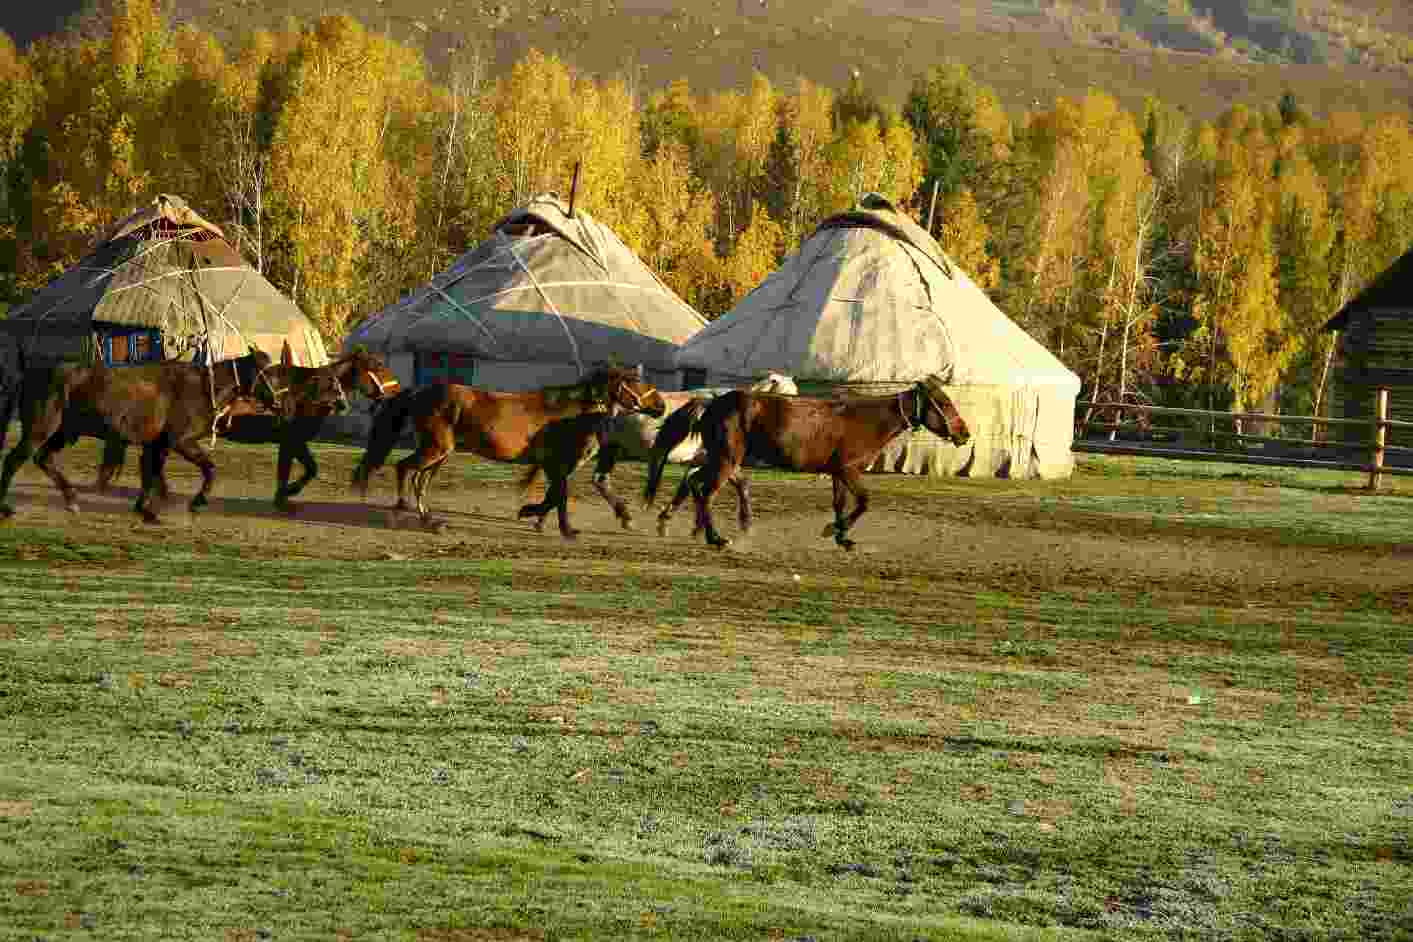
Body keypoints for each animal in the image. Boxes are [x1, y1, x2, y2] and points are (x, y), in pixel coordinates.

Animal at [0, 346, 284, 522]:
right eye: (266, 373)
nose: (280, 403)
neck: (203, 388)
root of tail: (31, 372)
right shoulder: (180, 442)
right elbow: (207, 468)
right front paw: (196, 501)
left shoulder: (157, 445)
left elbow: (151, 474)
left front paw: (145, 509)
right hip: (40, 430)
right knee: (13, 461)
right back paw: (6, 507)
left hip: (64, 433)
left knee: (43, 459)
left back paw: (71, 499)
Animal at [92, 348, 404, 511]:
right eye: (376, 365)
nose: (396, 390)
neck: (306, 393)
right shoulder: (291, 440)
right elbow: (296, 470)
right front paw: (285, 496)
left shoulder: (294, 442)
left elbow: (306, 469)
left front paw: (285, 495)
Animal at [350, 364, 664, 533]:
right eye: (636, 382)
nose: (660, 406)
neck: (570, 413)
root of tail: (419, 391)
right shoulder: (557, 463)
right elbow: (558, 495)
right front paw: (558, 526)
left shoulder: (553, 465)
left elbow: (554, 495)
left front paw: (538, 519)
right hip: (435, 449)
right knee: (404, 469)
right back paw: (401, 512)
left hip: (440, 453)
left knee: (419, 480)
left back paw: (431, 521)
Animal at [522, 372, 808, 531]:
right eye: (788, 393)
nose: (797, 413)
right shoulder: (713, 460)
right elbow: (710, 487)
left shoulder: (702, 461)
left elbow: (696, 487)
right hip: (589, 450)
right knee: (564, 477)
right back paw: (539, 517)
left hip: (610, 450)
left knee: (599, 480)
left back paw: (624, 517)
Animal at [644, 375, 966, 553]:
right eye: (944, 403)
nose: (964, 433)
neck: (865, 421)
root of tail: (712, 403)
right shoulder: (849, 470)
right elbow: (864, 502)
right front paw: (834, 531)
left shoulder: (837, 473)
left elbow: (840, 504)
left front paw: (842, 537)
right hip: (725, 460)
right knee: (705, 491)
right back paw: (715, 538)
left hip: (719, 459)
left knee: (695, 483)